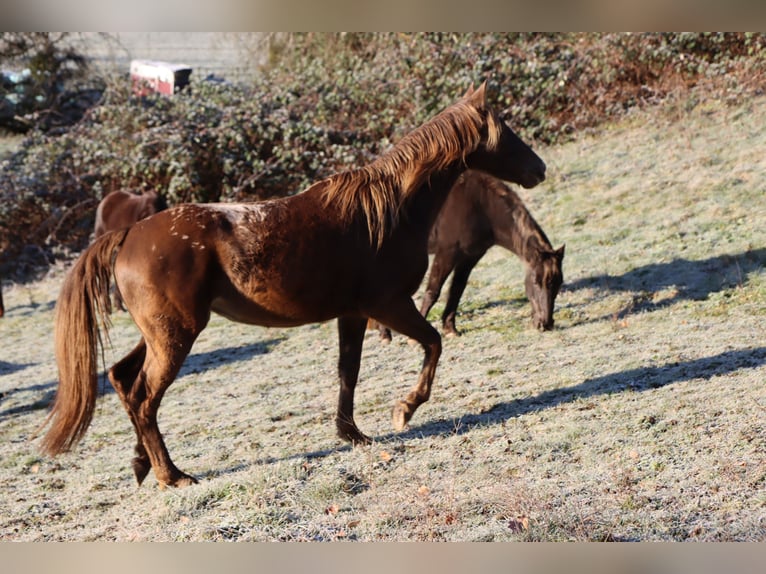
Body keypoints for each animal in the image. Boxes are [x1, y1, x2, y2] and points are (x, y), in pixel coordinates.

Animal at [373, 170, 564, 342]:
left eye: (558, 283)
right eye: (536, 282)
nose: (546, 323)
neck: (483, 207)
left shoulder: (470, 257)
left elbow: (456, 290)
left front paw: (450, 328)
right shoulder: (447, 253)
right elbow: (433, 291)